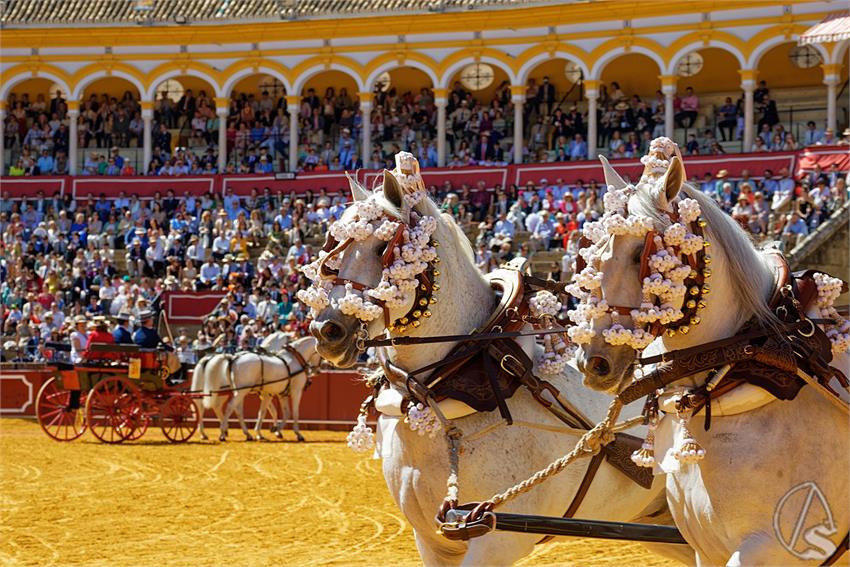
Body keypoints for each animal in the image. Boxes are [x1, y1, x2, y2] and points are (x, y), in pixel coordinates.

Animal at [190, 338, 320, 444]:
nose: (317, 370)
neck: (294, 359)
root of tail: (232, 358)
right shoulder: (295, 392)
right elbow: (294, 412)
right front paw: (298, 434)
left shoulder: (277, 394)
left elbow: (280, 412)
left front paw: (276, 431)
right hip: (239, 392)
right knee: (228, 406)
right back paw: (222, 433)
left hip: (234, 392)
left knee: (226, 408)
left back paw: (243, 433)